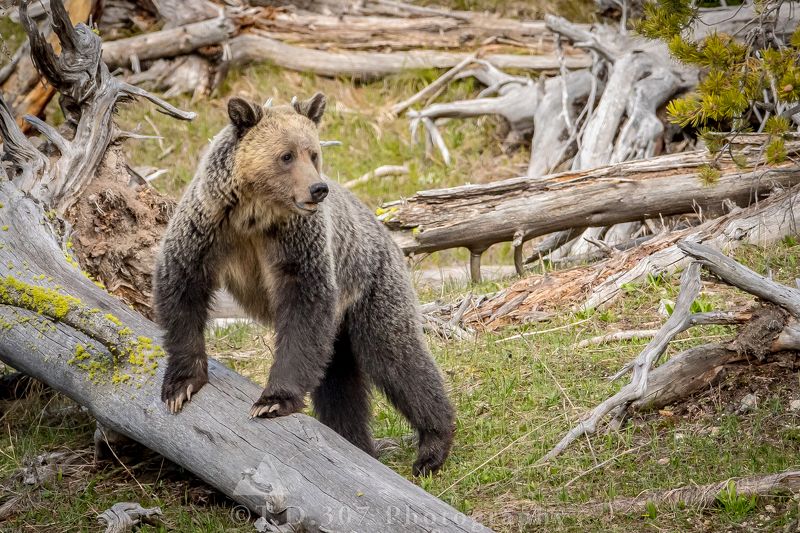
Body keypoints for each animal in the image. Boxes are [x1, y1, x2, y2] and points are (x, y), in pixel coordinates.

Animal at [153, 93, 455, 475]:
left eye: (313, 153)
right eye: (286, 155)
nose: (318, 188)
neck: (254, 215)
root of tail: (384, 229)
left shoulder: (297, 245)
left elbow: (303, 311)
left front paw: (272, 400)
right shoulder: (208, 227)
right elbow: (182, 287)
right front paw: (181, 386)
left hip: (371, 284)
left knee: (396, 355)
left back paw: (432, 445)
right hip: (343, 323)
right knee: (341, 382)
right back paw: (355, 442)